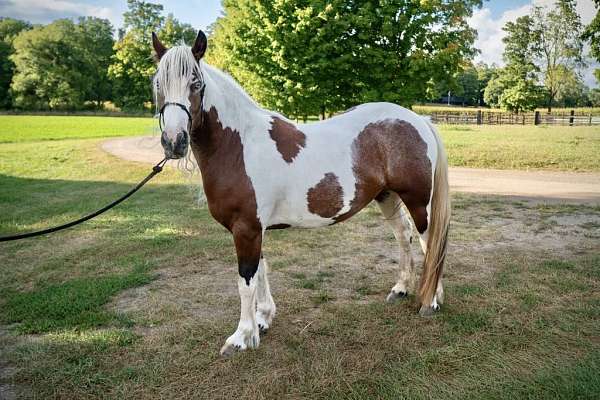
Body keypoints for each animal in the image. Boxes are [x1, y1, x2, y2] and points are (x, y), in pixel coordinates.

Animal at [150, 31, 450, 354]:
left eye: (196, 83)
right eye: (158, 83)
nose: (174, 141)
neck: (239, 145)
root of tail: (419, 120)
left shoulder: (246, 229)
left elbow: (245, 281)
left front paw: (241, 337)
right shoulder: (254, 229)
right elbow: (261, 271)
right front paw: (262, 320)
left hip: (419, 202)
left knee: (430, 243)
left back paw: (431, 301)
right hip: (388, 196)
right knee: (404, 237)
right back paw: (402, 289)